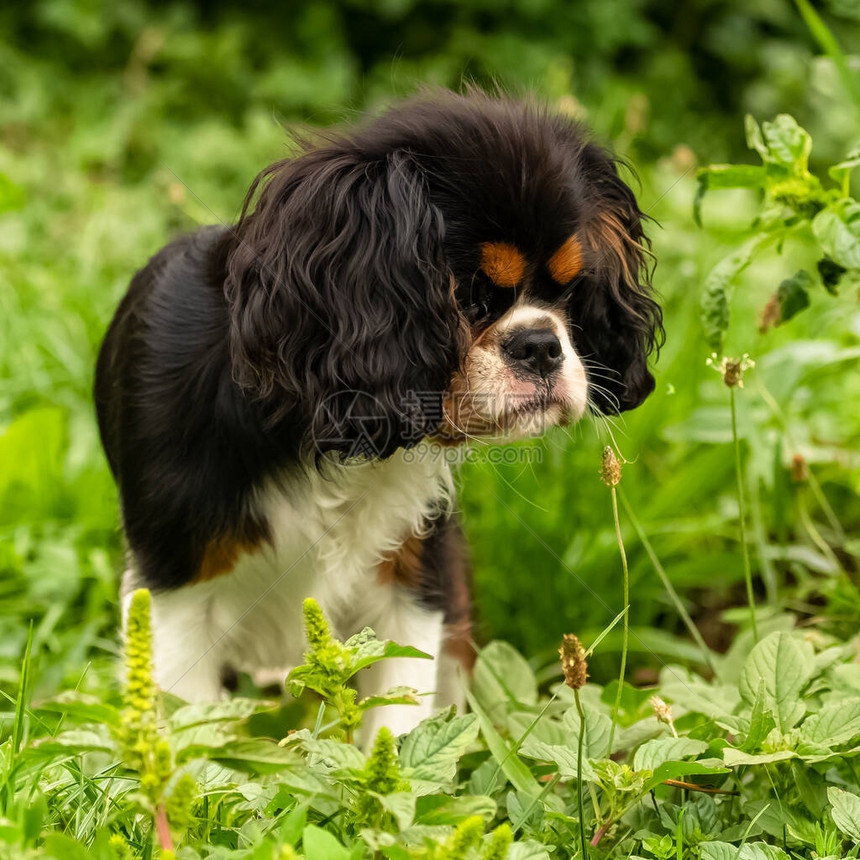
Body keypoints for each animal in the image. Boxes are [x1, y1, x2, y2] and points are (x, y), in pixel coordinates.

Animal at [95, 89, 660, 740]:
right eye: (467, 297)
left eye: (569, 292)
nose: (542, 344)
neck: (313, 433)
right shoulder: (176, 593)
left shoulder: (412, 582)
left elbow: (398, 722)